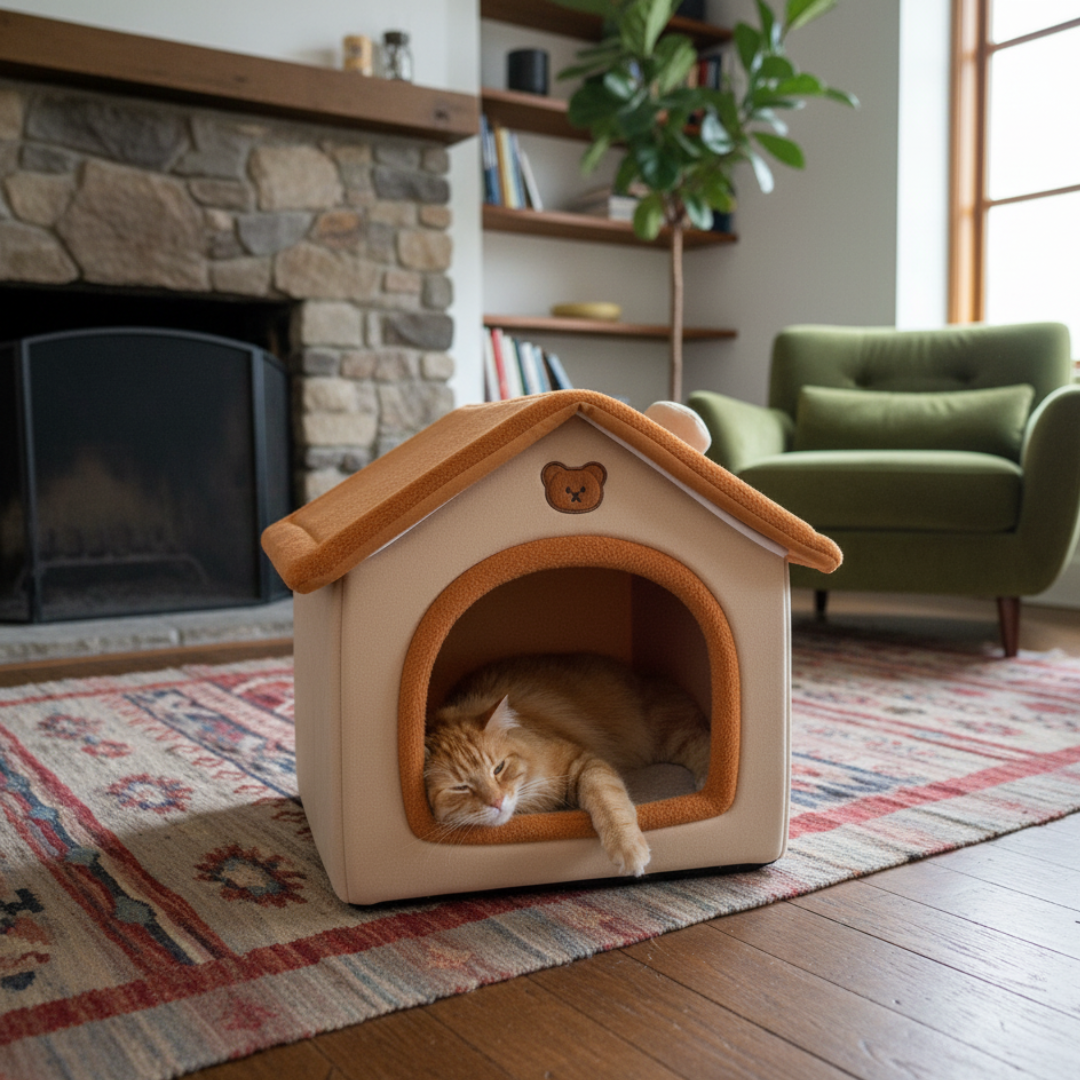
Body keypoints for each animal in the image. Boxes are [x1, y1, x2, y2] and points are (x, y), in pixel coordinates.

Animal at [424, 653, 710, 877]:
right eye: (460, 788)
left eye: (498, 768)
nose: (497, 802)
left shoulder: (582, 762)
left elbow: (610, 802)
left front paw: (628, 848)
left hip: (672, 737)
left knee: (701, 744)